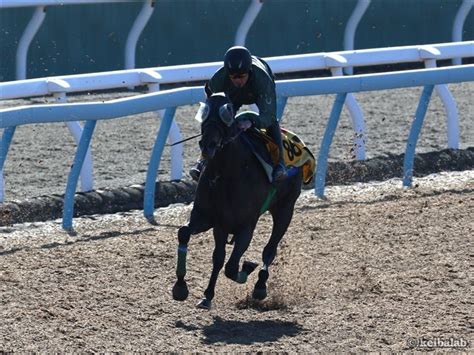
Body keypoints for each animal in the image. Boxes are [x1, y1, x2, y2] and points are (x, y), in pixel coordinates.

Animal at [172, 93, 302, 310]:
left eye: (227, 112)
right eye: (204, 111)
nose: (207, 145)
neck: (226, 174)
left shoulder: (245, 226)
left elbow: (231, 267)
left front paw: (248, 267)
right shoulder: (211, 220)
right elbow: (190, 237)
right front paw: (186, 289)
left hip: (285, 209)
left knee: (270, 250)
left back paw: (260, 286)